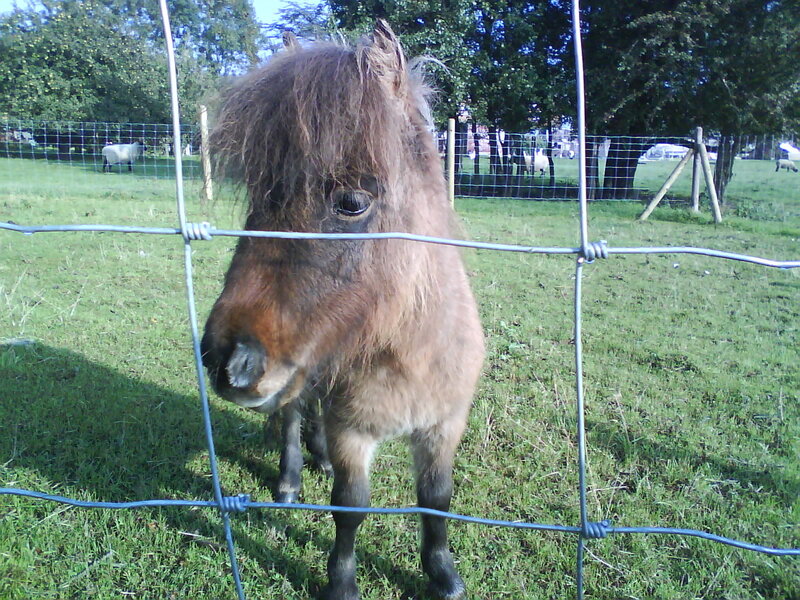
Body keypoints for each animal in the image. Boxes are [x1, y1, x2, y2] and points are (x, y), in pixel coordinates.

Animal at [200, 22, 485, 600]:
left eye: (352, 202)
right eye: (256, 199)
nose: (226, 359)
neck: (409, 353)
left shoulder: (444, 426)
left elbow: (437, 500)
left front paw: (443, 575)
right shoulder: (354, 432)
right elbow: (350, 509)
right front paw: (342, 583)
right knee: (291, 416)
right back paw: (290, 480)